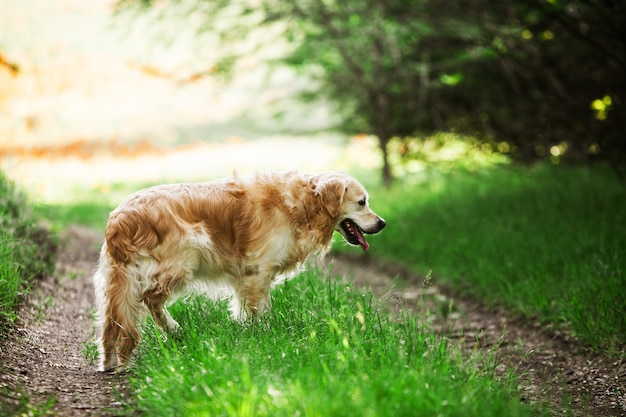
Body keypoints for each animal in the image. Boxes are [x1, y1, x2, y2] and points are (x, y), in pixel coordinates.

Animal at [92, 170, 386, 370]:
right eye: (362, 202)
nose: (382, 223)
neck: (302, 204)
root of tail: (119, 220)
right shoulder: (258, 271)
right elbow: (257, 312)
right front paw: (263, 336)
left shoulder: (258, 275)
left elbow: (260, 307)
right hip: (185, 256)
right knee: (150, 299)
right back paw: (173, 329)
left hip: (117, 281)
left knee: (112, 321)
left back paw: (108, 362)